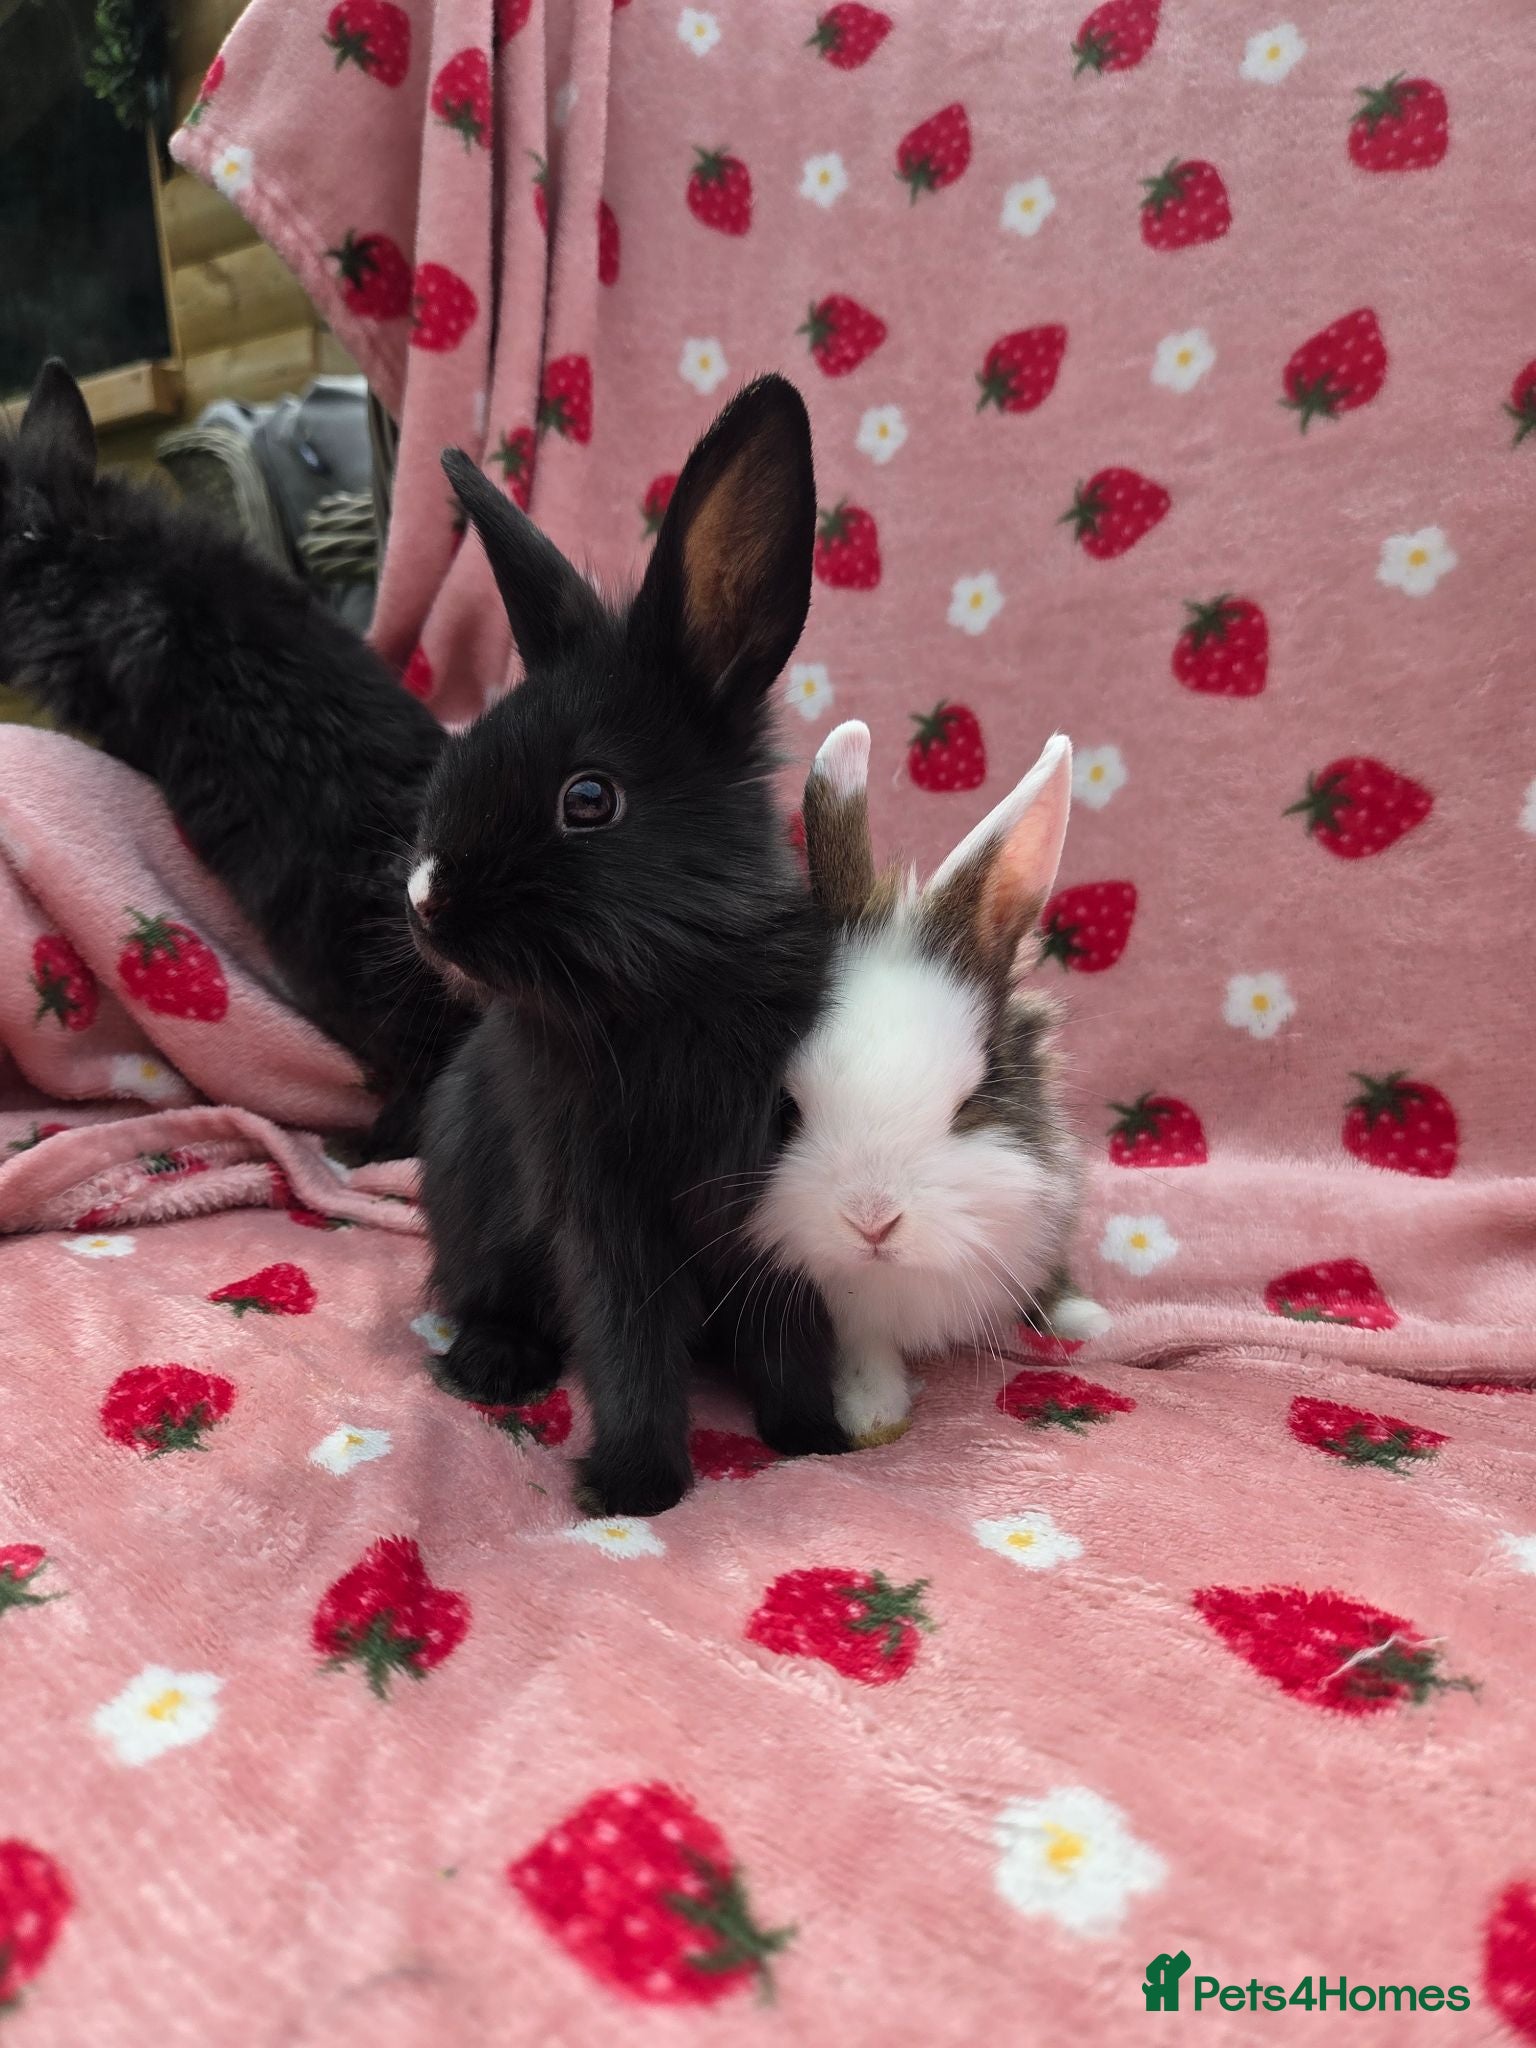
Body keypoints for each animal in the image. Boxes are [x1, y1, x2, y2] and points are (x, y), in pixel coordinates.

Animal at [412, 373, 851, 1517]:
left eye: (589, 798)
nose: (425, 900)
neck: (665, 995)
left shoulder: (778, 1194)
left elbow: (790, 1321)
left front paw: (815, 1437)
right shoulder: (599, 1211)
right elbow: (625, 1340)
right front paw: (636, 1485)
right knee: (480, 1295)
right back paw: (492, 1367)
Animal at [750, 719, 1111, 1448]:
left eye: (972, 1101)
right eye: (787, 1109)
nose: (871, 1220)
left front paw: (1085, 1319)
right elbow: (865, 1353)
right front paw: (873, 1418)